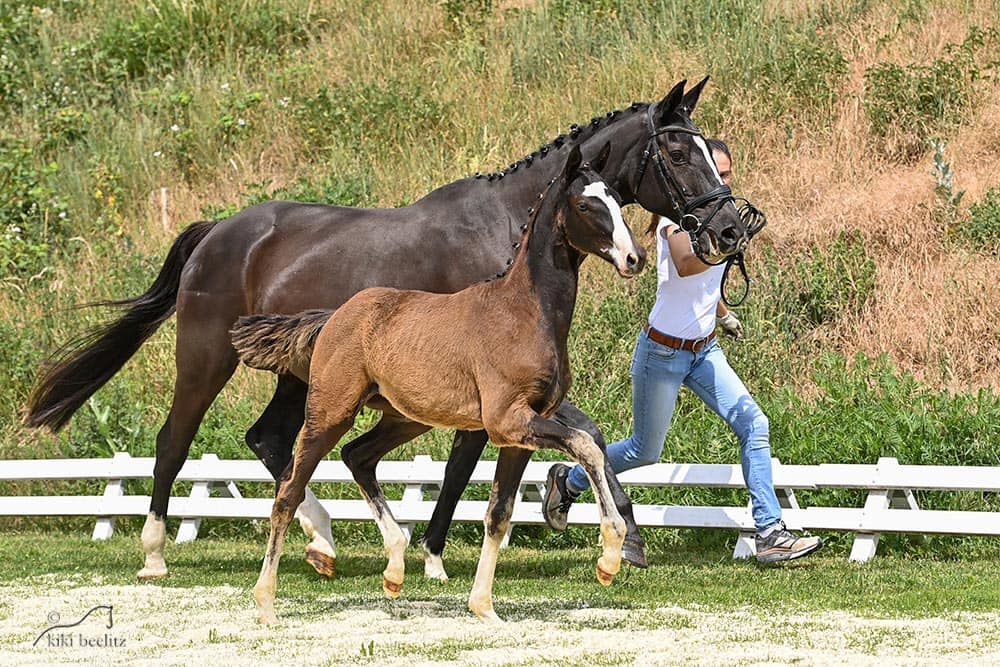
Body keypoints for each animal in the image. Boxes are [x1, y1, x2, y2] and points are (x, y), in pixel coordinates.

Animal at [230, 142, 644, 628]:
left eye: (617, 200)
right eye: (585, 204)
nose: (634, 258)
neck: (526, 312)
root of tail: (332, 316)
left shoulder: (519, 435)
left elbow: (499, 514)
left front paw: (484, 607)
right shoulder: (507, 421)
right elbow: (586, 444)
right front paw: (610, 556)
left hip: (405, 419)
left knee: (357, 456)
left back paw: (394, 568)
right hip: (329, 414)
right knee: (289, 493)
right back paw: (267, 601)